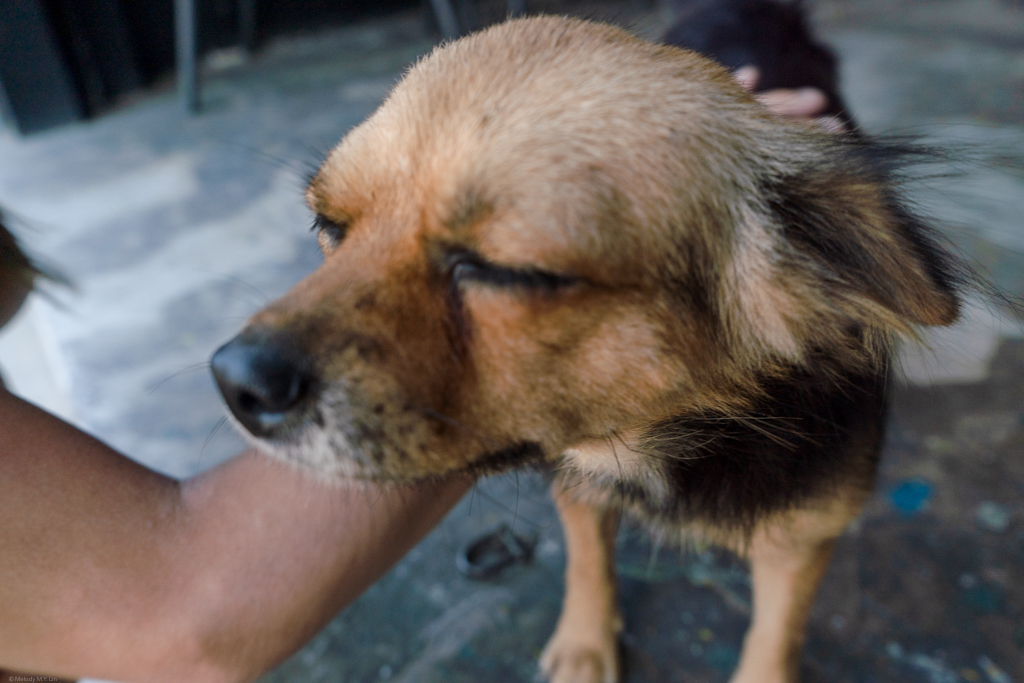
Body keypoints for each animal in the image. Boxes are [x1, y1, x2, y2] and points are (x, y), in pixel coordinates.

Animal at [209, 15, 966, 683]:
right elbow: (586, 561)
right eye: (329, 225)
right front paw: (585, 643)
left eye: (509, 272)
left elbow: (774, 636)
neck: (661, 441)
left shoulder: (804, 537)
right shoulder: (574, 473)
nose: (233, 381)